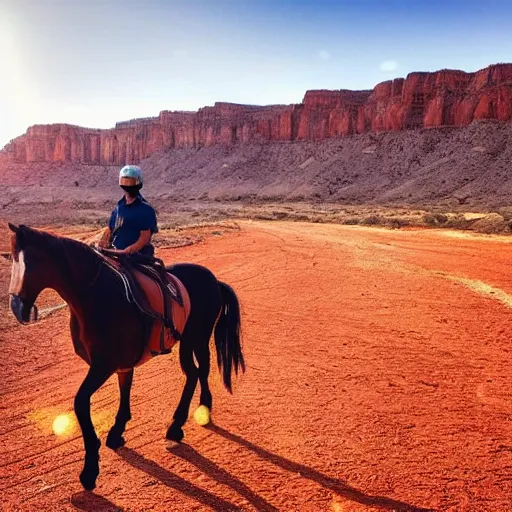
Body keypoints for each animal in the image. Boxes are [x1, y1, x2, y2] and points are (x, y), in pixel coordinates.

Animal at [6, 222, 246, 490]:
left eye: (31, 261)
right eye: (11, 258)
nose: (16, 308)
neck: (96, 297)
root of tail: (213, 279)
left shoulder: (103, 366)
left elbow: (80, 402)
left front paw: (90, 469)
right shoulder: (121, 364)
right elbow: (124, 391)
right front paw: (117, 432)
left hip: (197, 337)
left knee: (199, 370)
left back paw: (189, 418)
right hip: (190, 340)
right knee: (196, 372)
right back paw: (189, 417)